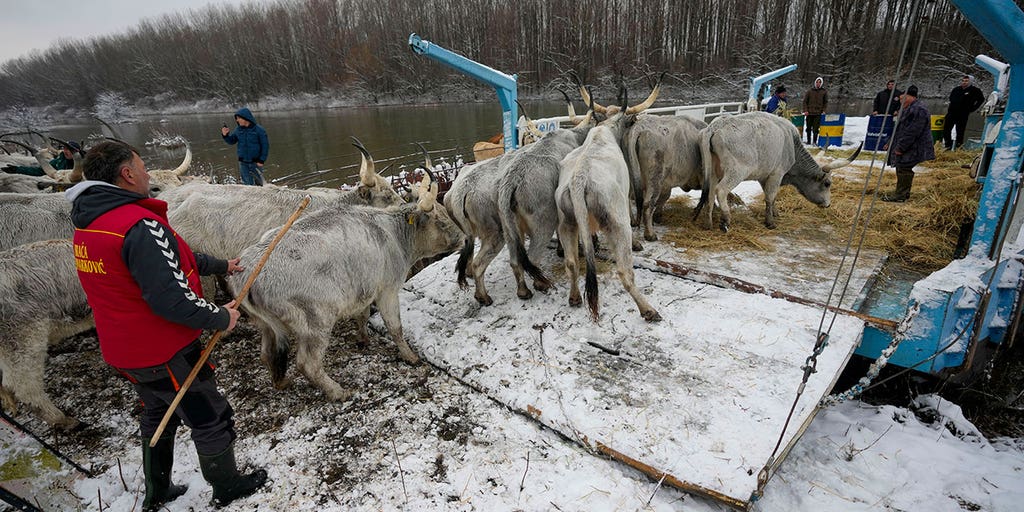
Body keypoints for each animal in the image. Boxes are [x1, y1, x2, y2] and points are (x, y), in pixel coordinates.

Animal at [227, 173, 464, 401]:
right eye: (440, 221)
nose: (462, 237)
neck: (392, 233)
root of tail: (249, 268)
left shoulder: (365, 287)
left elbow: (362, 315)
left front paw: (364, 338)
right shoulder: (387, 290)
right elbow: (395, 327)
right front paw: (410, 356)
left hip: (266, 325)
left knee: (267, 353)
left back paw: (281, 381)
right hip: (316, 322)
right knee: (307, 363)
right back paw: (336, 392)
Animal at [555, 89, 662, 323]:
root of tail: (579, 179)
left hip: (566, 223)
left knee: (571, 262)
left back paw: (574, 297)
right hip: (618, 223)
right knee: (624, 271)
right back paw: (648, 310)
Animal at [697, 111, 862, 232]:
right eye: (827, 183)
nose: (828, 204)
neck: (792, 144)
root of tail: (716, 126)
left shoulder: (765, 176)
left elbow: (772, 196)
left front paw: (774, 213)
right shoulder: (776, 174)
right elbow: (770, 196)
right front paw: (770, 222)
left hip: (713, 172)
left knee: (710, 193)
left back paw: (708, 223)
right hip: (736, 172)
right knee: (721, 190)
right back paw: (725, 219)